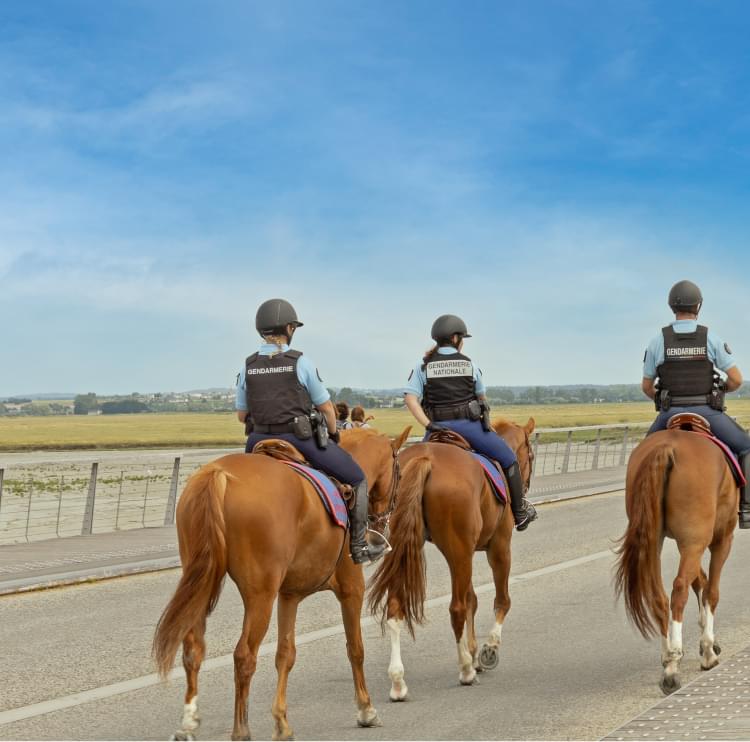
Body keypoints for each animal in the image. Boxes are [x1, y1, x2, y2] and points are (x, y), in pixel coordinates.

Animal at [152, 424, 412, 742]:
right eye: (399, 473)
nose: (383, 522)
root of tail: (219, 475)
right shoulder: (352, 588)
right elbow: (355, 648)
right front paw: (365, 709)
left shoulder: (289, 595)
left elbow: (285, 654)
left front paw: (281, 722)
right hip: (259, 594)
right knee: (244, 655)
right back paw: (241, 730)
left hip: (202, 582)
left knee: (193, 649)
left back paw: (188, 723)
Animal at [368, 422, 536, 700]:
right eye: (531, 456)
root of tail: (425, 459)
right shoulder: (499, 546)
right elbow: (501, 600)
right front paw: (488, 650)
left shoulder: (464, 552)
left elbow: (472, 600)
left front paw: (474, 652)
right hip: (459, 549)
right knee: (456, 608)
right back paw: (465, 670)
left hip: (402, 546)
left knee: (394, 608)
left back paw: (398, 681)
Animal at [616, 428, 740, 696]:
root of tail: (668, 447)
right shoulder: (721, 539)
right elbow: (711, 590)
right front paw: (708, 648)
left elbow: (701, 582)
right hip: (696, 540)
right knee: (680, 589)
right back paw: (673, 667)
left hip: (654, 541)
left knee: (660, 596)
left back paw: (668, 656)